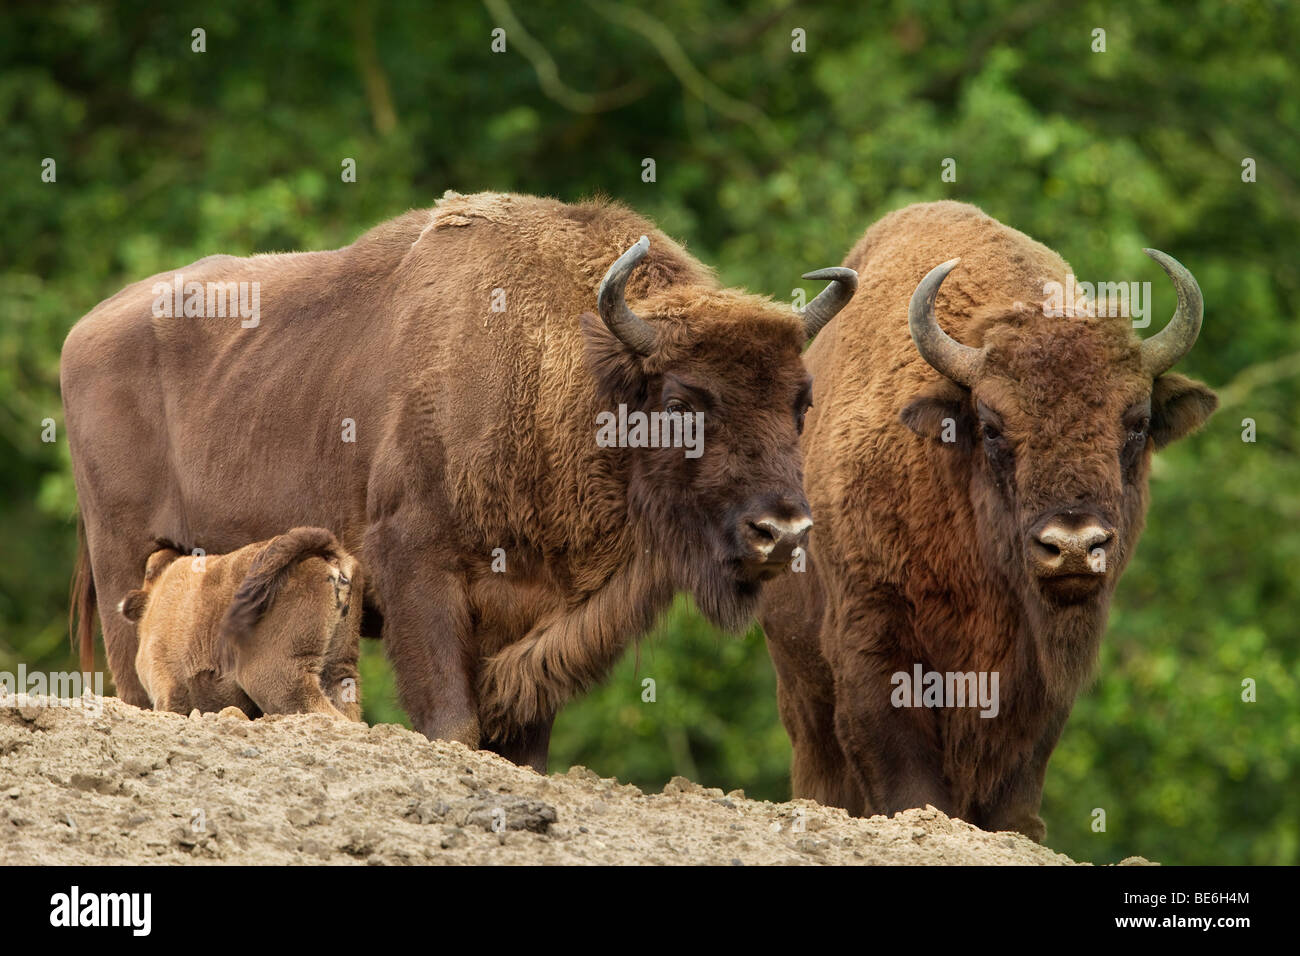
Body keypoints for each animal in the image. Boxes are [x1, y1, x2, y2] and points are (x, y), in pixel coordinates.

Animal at [759, 200, 1216, 837]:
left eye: (1138, 423)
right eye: (994, 426)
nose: (1073, 546)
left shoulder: (1042, 673)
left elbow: (1021, 768)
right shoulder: (871, 634)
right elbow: (899, 758)